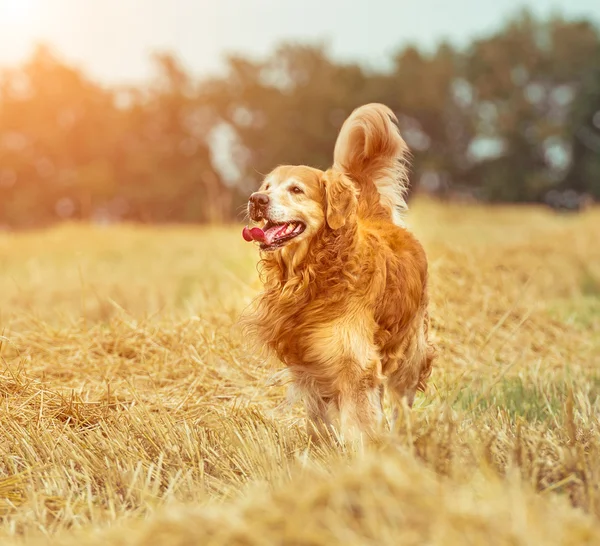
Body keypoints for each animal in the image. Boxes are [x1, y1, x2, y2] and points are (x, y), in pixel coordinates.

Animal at [241, 103, 434, 442]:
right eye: (267, 187)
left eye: (296, 189)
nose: (256, 200)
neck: (312, 273)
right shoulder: (309, 361)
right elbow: (320, 416)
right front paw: (322, 445)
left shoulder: (355, 362)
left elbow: (361, 423)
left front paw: (368, 452)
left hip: (409, 351)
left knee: (402, 401)